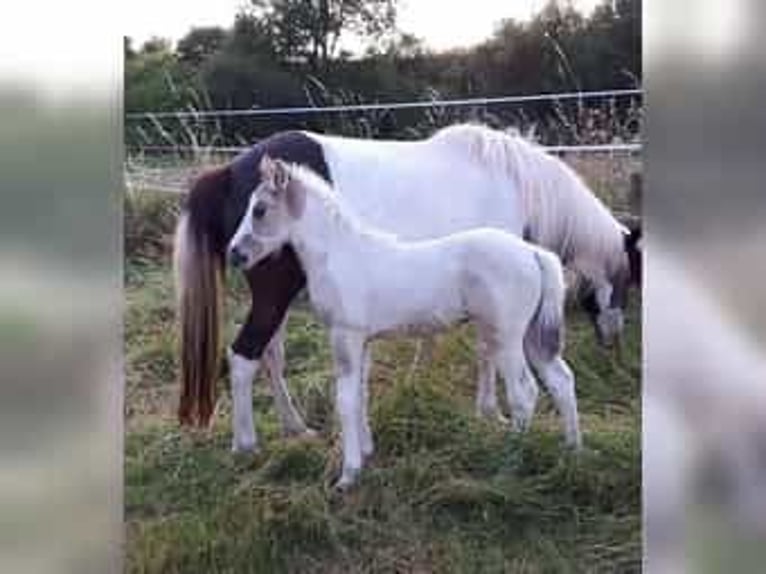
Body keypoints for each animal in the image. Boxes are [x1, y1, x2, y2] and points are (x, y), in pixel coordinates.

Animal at [173, 124, 640, 453]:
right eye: (629, 278)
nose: (614, 344)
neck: (513, 182)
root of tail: (228, 171)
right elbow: (487, 352)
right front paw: (491, 413)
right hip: (274, 295)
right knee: (244, 356)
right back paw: (246, 444)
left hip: (278, 300)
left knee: (271, 356)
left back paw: (296, 427)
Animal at [229, 155, 581, 488]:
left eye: (259, 209)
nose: (235, 254)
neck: (339, 255)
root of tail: (533, 252)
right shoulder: (364, 340)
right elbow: (361, 395)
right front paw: (366, 452)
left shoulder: (345, 335)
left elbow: (345, 400)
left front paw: (348, 475)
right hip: (530, 334)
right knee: (561, 379)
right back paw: (572, 451)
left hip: (506, 336)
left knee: (524, 394)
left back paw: (509, 464)